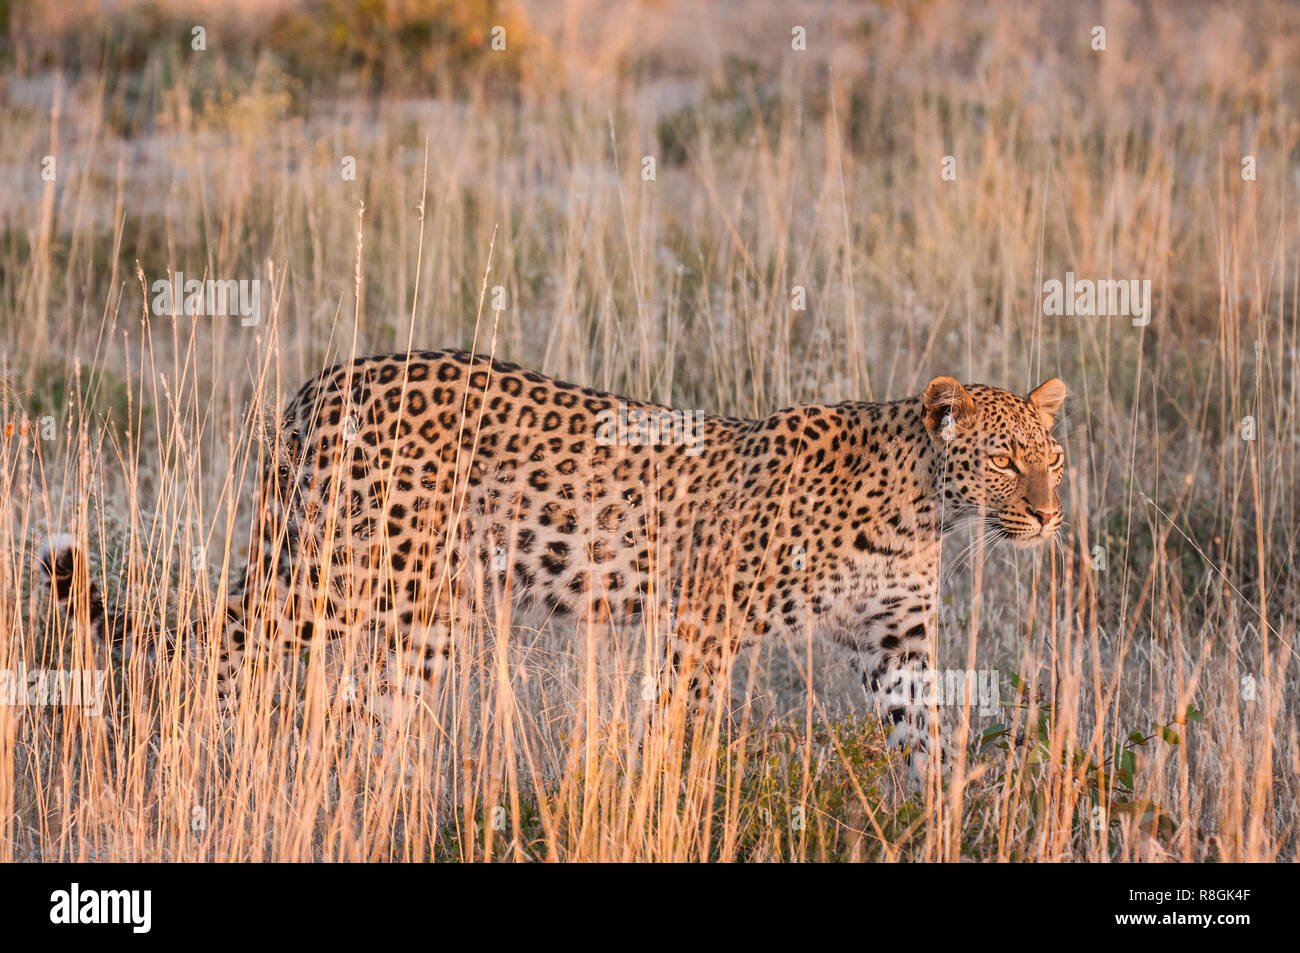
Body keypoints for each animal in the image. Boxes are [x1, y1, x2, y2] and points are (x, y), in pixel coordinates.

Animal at [43, 348, 1066, 774]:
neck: (923, 506)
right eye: (1002, 459)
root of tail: (320, 382)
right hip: (332, 575)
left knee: (365, 713)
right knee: (223, 656)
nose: (1049, 515)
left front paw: (943, 814)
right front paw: (664, 799)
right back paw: (185, 755)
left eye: (1050, 457)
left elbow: (929, 735)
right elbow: (675, 726)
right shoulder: (703, 616)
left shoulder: (896, 642)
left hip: (425, 613)